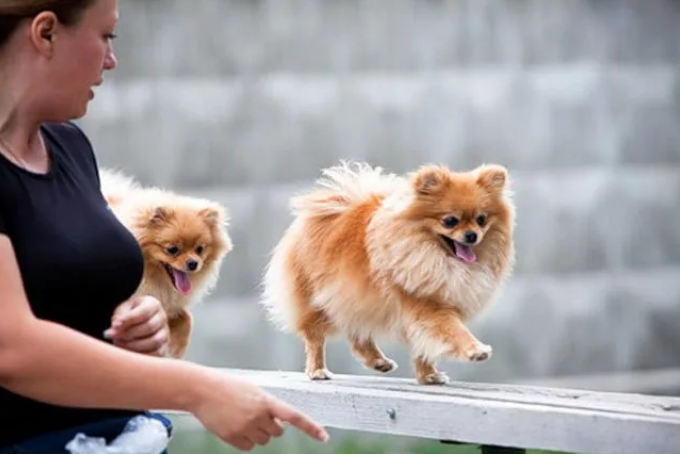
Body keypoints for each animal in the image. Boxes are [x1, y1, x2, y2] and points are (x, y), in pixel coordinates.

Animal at [97, 168, 232, 360]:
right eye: (172, 249)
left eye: (199, 249)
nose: (193, 263)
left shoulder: (168, 304)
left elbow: (186, 318)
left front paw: (177, 347)